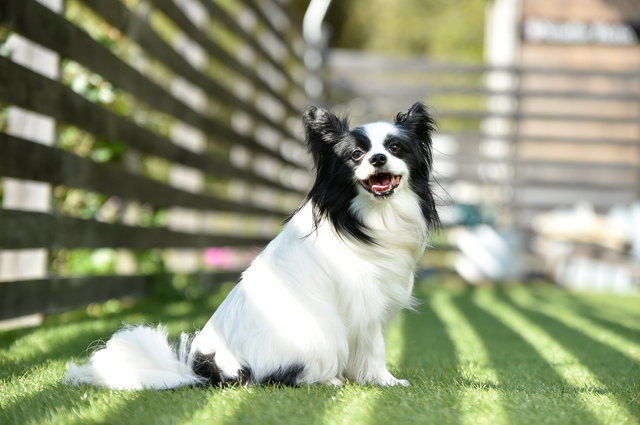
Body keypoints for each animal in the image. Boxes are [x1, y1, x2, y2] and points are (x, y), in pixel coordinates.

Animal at [66, 101, 444, 390]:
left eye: (395, 149)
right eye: (355, 155)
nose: (377, 159)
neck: (372, 216)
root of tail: (209, 369)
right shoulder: (364, 309)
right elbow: (375, 350)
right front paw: (386, 382)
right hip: (322, 333)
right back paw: (328, 380)